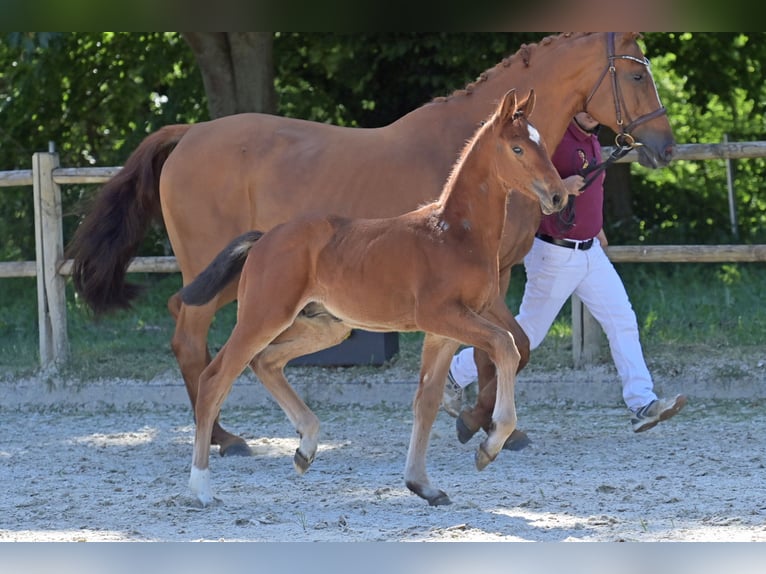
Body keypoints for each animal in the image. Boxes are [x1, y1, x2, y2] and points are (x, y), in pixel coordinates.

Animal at [67, 33, 674, 456]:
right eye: (636, 75)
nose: (666, 146)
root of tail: (189, 133)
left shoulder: (495, 276)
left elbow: (512, 345)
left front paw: (479, 419)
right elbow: (500, 347)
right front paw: (476, 422)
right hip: (222, 276)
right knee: (194, 342)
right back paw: (221, 437)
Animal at [180, 89, 567, 506]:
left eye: (541, 143)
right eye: (517, 148)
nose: (558, 195)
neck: (455, 234)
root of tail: (265, 237)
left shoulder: (443, 332)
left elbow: (426, 401)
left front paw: (423, 485)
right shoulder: (443, 315)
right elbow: (506, 345)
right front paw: (490, 446)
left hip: (325, 327)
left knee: (265, 362)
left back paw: (305, 447)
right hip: (262, 316)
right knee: (215, 378)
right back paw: (201, 486)